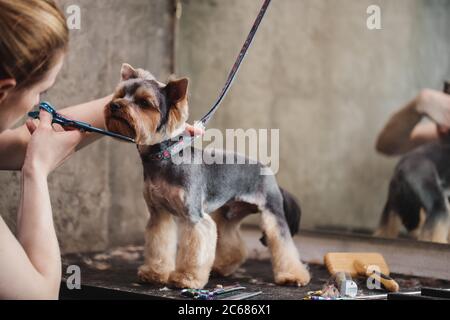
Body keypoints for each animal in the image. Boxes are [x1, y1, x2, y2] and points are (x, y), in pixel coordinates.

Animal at [104, 63, 312, 288]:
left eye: (144, 103)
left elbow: (195, 249)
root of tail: (269, 174)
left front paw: (186, 278)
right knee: (233, 242)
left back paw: (293, 275)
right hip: (229, 214)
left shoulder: (194, 216)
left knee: (282, 241)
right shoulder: (159, 214)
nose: (114, 105)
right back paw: (222, 267)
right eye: (120, 94)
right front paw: (154, 272)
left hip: (271, 211)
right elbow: (159, 243)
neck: (164, 156)